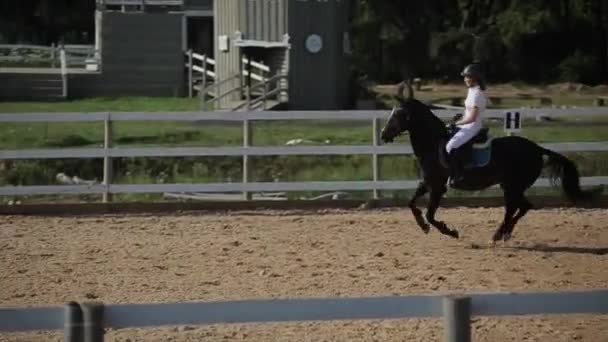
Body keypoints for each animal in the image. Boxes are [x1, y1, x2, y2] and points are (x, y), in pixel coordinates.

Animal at [380, 83, 600, 243]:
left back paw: (499, 234)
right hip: (512, 186)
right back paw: (504, 233)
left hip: (513, 186)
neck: (433, 145)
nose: (383, 135)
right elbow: (411, 204)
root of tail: (537, 149)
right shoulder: (427, 183)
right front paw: (423, 226)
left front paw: (450, 231)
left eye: (398, 113)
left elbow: (430, 214)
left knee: (516, 207)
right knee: (523, 206)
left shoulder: (437, 187)